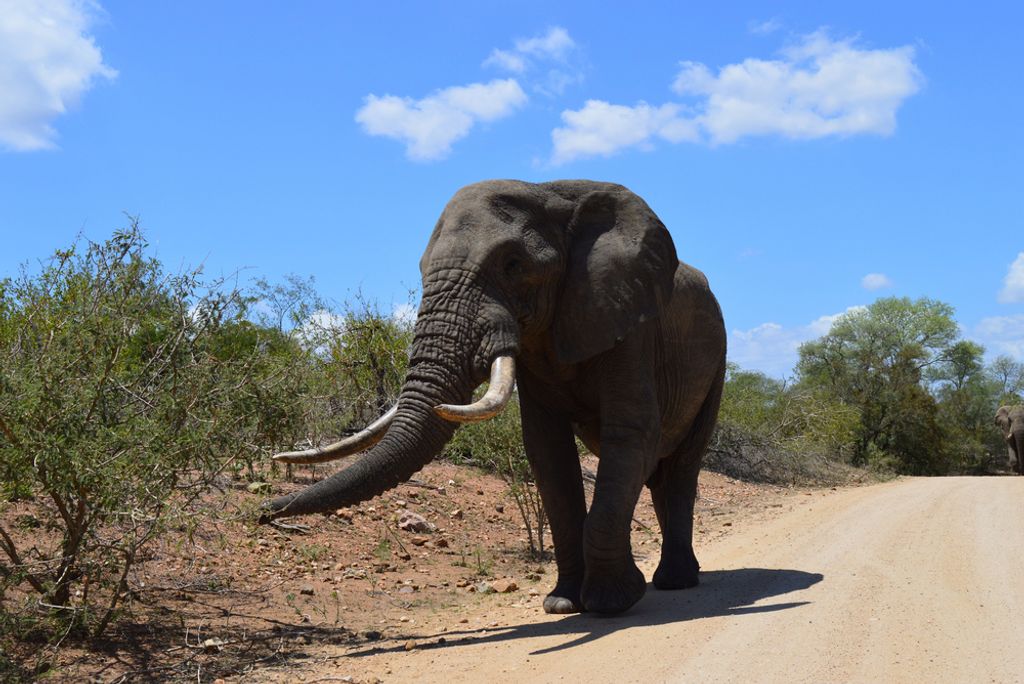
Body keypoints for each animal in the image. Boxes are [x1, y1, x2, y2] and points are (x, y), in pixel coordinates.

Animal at [261, 179, 727, 615]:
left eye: (513, 264)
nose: (264, 510)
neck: (552, 195)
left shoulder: (628, 325)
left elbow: (631, 435)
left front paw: (610, 604)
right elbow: (547, 452)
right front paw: (562, 604)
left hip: (716, 361)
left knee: (680, 468)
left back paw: (675, 582)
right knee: (658, 475)